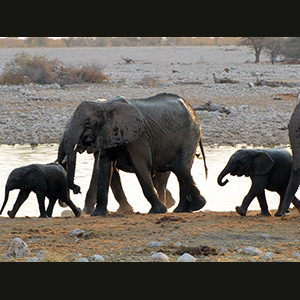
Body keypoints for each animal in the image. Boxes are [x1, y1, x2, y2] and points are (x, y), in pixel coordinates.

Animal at [60, 92, 206, 214]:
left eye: (88, 124)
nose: (77, 189)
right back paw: (182, 209)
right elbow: (104, 166)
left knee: (181, 168)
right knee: (180, 171)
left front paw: (158, 211)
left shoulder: (138, 137)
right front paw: (98, 214)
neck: (104, 105)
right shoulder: (108, 134)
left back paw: (195, 205)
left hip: (190, 134)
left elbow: (140, 166)